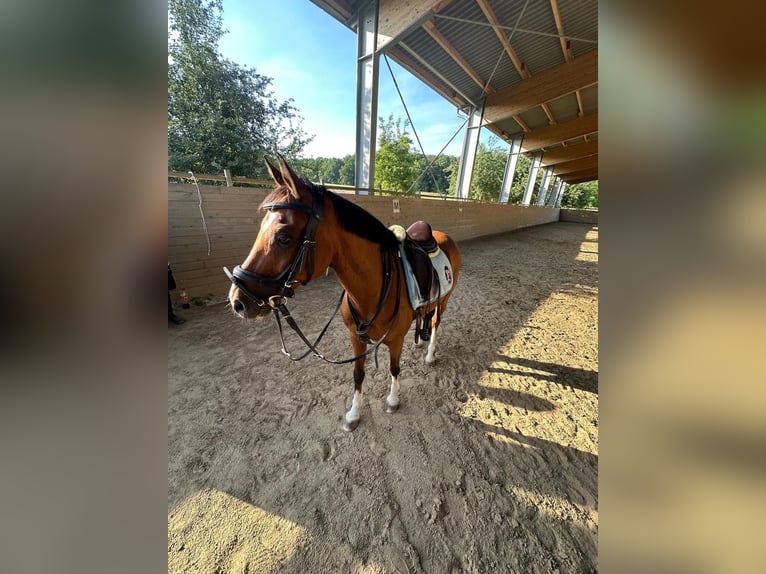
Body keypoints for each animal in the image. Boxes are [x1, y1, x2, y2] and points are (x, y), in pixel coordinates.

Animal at [224, 156, 462, 431]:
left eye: (283, 237)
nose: (237, 300)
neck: (376, 286)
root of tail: (442, 236)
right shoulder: (355, 338)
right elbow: (358, 374)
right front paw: (354, 414)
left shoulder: (394, 341)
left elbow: (394, 369)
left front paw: (393, 400)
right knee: (425, 317)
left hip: (445, 300)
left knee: (435, 323)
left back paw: (430, 353)